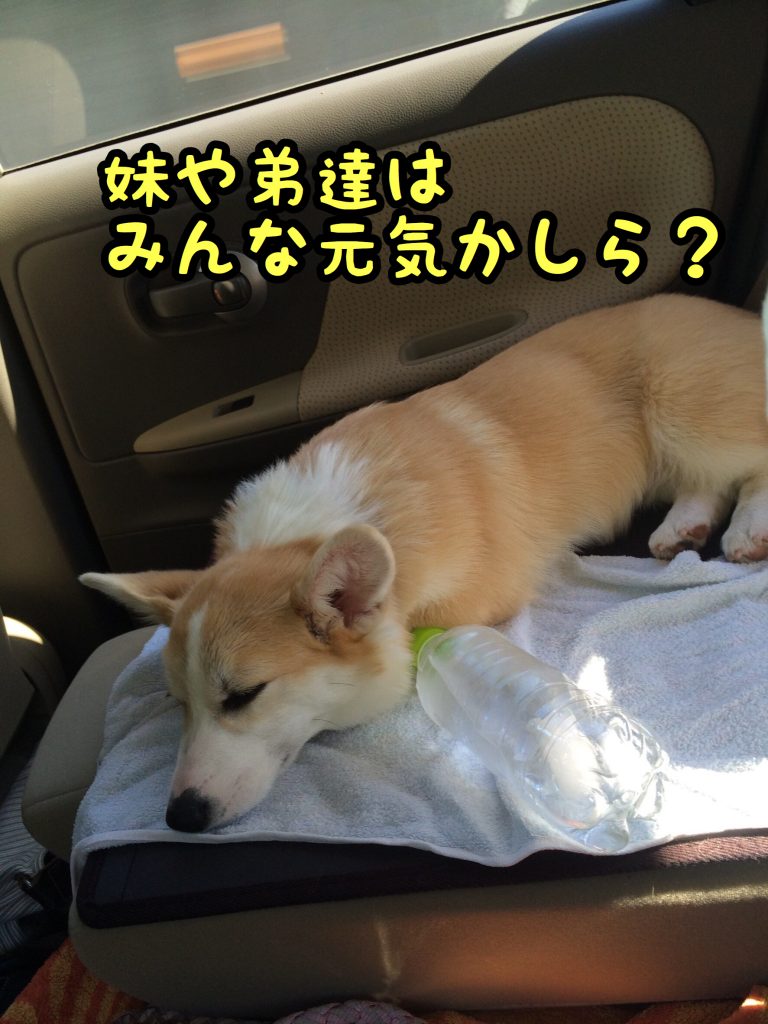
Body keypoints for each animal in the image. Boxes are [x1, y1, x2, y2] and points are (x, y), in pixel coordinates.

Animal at [81, 293, 768, 832]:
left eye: (243, 696)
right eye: (178, 702)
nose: (180, 819)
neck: (306, 531)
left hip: (685, 409)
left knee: (745, 463)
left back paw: (743, 533)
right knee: (706, 482)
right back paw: (681, 529)